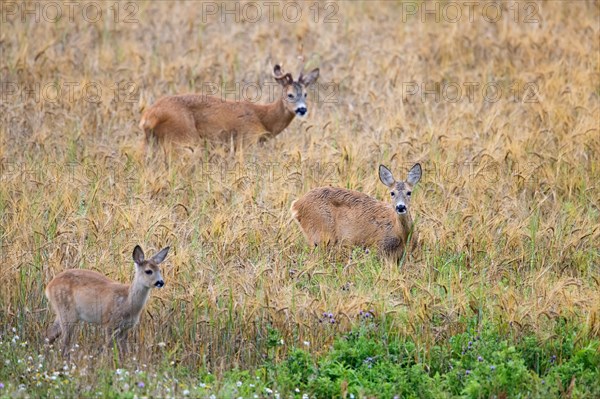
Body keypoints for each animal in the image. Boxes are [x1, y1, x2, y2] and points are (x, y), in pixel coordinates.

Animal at [139, 61, 322, 149]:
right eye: (290, 95)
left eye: (305, 94)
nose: (302, 109)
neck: (262, 118)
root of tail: (149, 116)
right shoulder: (247, 140)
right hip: (183, 138)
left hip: (151, 143)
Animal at [290, 163, 422, 262]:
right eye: (392, 193)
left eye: (409, 192)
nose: (400, 207)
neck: (401, 234)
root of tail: (296, 204)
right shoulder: (378, 247)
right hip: (320, 235)